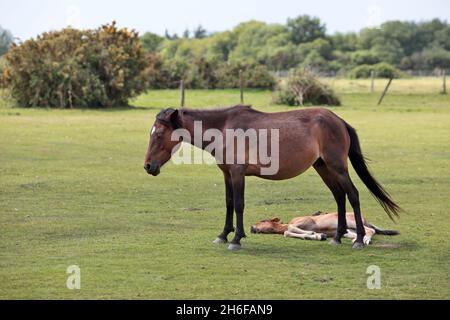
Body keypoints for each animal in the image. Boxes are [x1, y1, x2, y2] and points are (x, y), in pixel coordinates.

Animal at [144, 105, 400, 250]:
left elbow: (238, 205)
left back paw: (357, 240)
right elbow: (229, 204)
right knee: (339, 197)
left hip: (337, 166)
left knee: (353, 195)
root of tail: (339, 120)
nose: (148, 166)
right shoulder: (227, 174)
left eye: (159, 134)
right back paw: (337, 237)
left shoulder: (237, 173)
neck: (224, 128)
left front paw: (236, 239)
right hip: (323, 167)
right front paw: (223, 235)